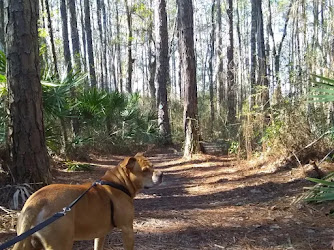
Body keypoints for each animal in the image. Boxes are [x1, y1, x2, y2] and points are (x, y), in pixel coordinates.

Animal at [12, 153, 163, 249]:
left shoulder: (100, 234)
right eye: (145, 170)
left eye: (153, 166)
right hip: (60, 243)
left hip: (28, 243)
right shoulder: (127, 229)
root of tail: (36, 201)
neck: (120, 183)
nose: (161, 174)